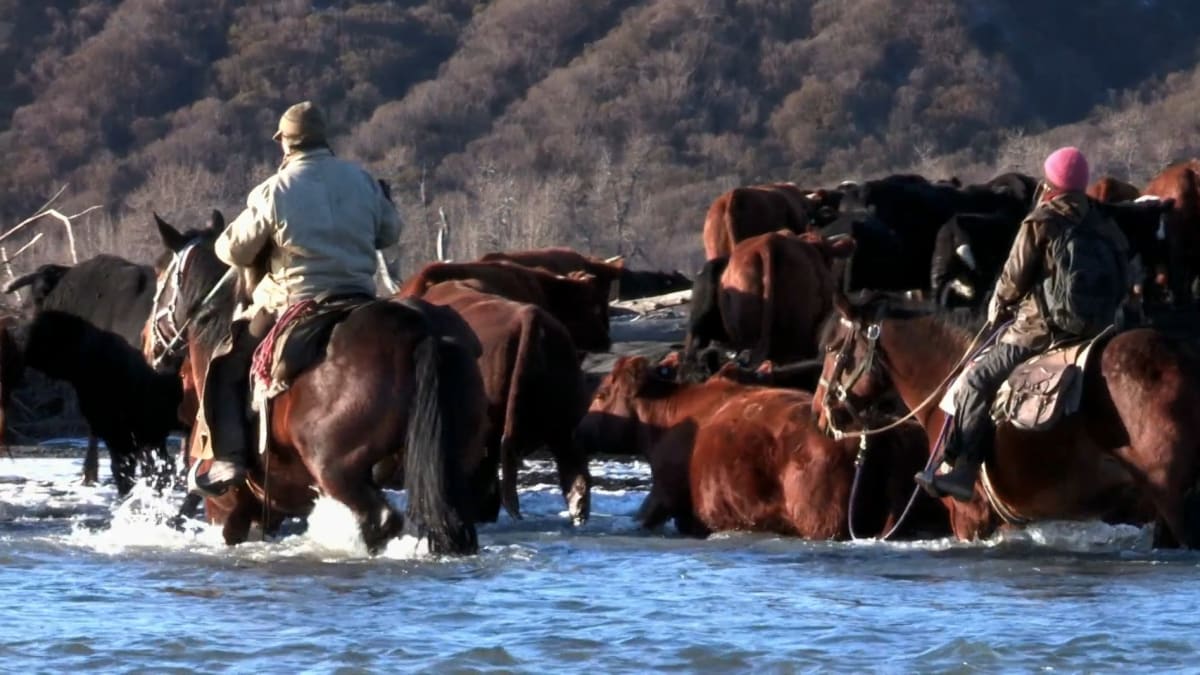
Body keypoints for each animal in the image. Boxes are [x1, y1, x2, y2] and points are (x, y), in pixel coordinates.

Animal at [147, 214, 484, 552]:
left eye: (160, 272)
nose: (148, 344)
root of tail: (421, 331)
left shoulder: (226, 508)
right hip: (451, 468)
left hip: (338, 470)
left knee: (381, 519)